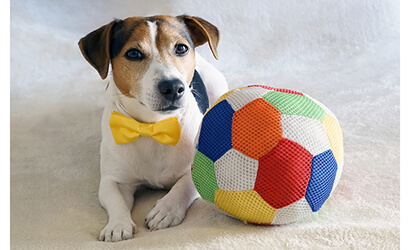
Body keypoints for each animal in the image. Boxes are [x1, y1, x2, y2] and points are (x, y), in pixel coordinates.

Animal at [78, 14, 229, 241]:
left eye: (181, 48)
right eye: (133, 53)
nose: (173, 87)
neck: (154, 126)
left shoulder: (199, 171)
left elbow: (184, 185)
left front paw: (165, 210)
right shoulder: (113, 179)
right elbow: (115, 199)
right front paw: (117, 225)